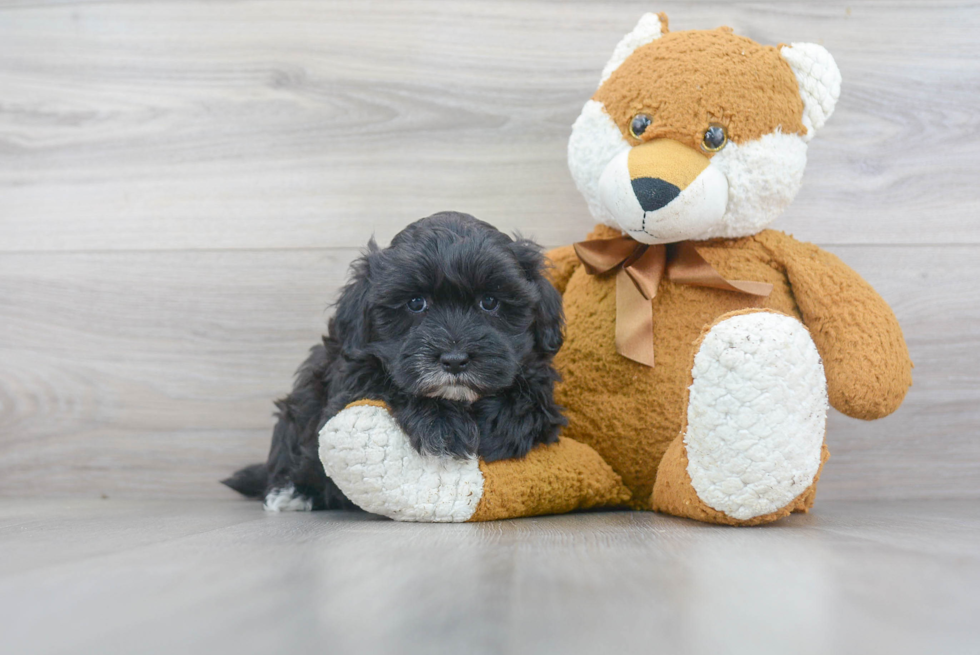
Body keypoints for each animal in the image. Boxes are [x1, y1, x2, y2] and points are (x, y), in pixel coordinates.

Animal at [224, 213, 568, 510]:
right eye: (416, 303)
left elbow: (534, 391)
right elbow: (388, 382)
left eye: (490, 301)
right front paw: (442, 422)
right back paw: (292, 492)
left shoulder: (537, 368)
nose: (455, 360)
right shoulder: (348, 375)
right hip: (305, 398)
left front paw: (501, 424)